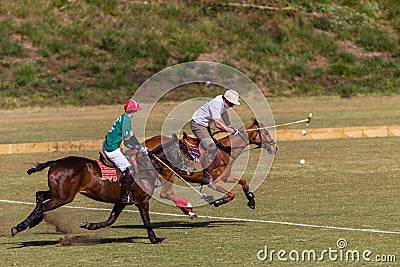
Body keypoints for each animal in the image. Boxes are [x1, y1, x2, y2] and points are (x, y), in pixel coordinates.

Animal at [10, 134, 186, 245]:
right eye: (184, 151)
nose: (186, 169)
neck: (147, 167)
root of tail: (56, 162)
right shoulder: (142, 200)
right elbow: (147, 221)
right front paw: (155, 239)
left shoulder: (121, 201)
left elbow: (110, 219)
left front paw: (89, 225)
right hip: (63, 197)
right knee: (42, 206)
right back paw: (22, 225)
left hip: (58, 193)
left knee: (39, 196)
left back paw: (27, 223)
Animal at [145, 118, 280, 215]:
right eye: (266, 131)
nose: (275, 147)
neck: (227, 150)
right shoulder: (216, 182)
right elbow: (232, 194)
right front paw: (217, 201)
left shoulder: (226, 177)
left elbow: (242, 180)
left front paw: (251, 200)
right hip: (167, 174)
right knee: (165, 194)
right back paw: (190, 209)